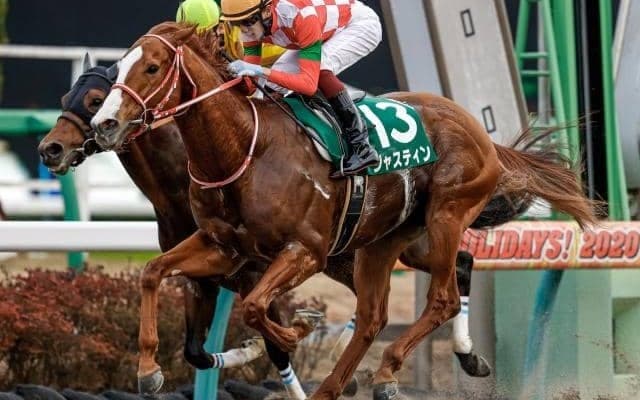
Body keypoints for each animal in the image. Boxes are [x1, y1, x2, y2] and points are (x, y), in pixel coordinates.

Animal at [90, 23, 596, 400]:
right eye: (116, 69)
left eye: (152, 67)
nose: (104, 124)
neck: (244, 150)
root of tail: (481, 133)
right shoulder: (222, 247)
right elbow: (153, 272)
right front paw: (149, 369)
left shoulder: (306, 250)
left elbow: (254, 308)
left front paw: (295, 329)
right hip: (386, 240)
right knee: (375, 316)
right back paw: (344, 384)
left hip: (447, 214)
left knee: (443, 298)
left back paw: (390, 370)